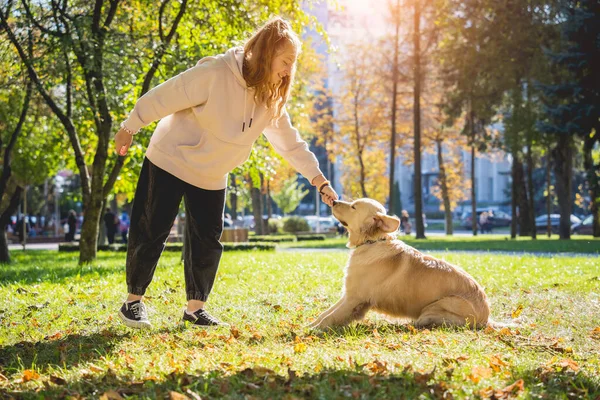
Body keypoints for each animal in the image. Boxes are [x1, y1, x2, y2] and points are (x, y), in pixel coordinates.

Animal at [310, 198, 492, 330]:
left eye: (354, 207)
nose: (333, 201)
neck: (372, 241)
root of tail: (486, 319)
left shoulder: (355, 298)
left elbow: (330, 317)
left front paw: (314, 330)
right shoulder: (349, 294)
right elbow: (326, 313)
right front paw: (311, 325)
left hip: (437, 306)